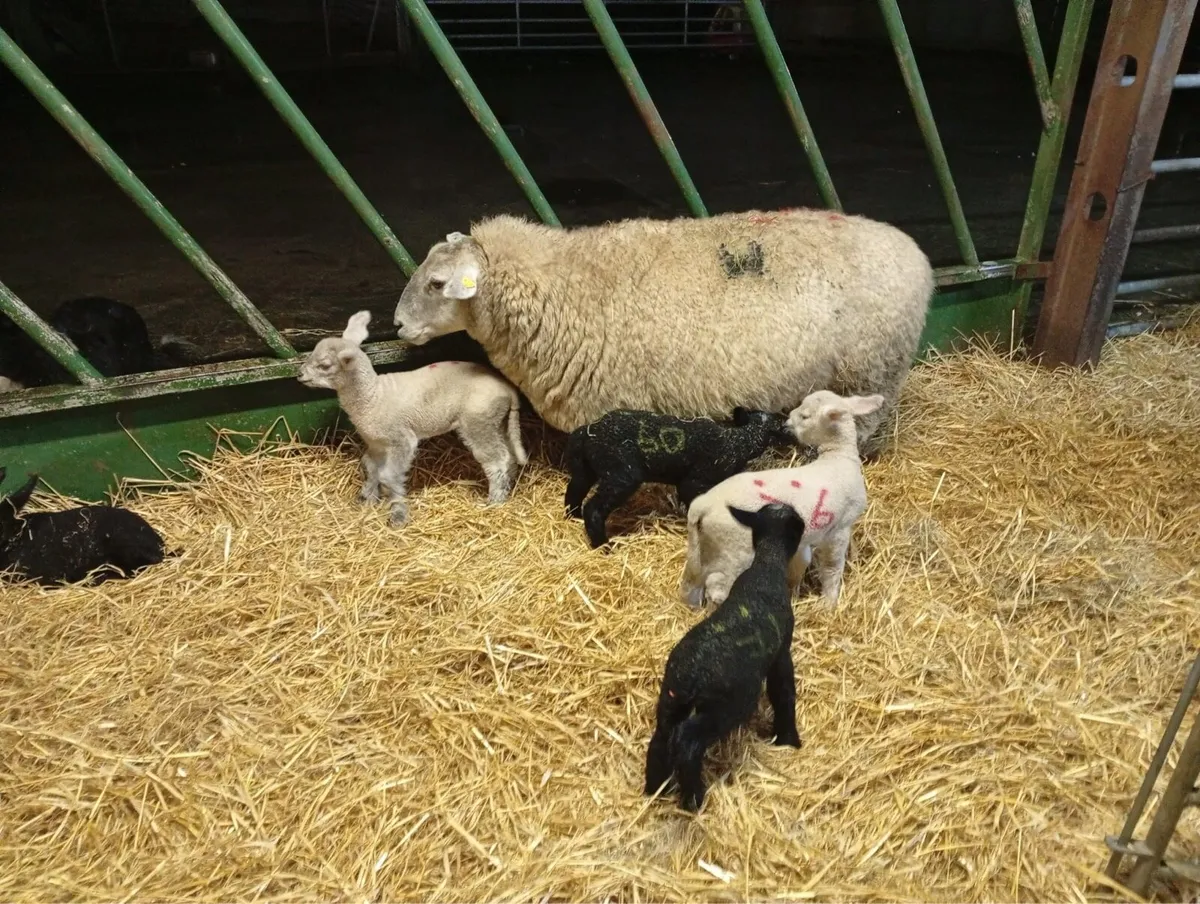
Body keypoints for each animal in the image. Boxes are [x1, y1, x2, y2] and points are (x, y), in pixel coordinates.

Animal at [297, 310, 528, 526]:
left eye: (325, 365)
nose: (299, 374)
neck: (373, 396)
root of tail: (507, 389)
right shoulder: (377, 444)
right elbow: (370, 466)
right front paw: (367, 498)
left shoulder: (401, 440)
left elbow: (389, 475)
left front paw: (397, 515)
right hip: (497, 420)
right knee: (508, 454)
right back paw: (508, 485)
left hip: (478, 421)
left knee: (496, 460)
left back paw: (495, 501)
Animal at [564, 406, 794, 548]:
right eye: (778, 426)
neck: (738, 442)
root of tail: (587, 433)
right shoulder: (695, 480)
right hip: (621, 474)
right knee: (593, 509)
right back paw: (604, 546)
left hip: (586, 468)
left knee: (574, 492)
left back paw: (572, 518)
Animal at [644, 502, 807, 813]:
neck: (766, 565)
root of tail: (690, 677)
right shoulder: (781, 652)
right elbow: (784, 693)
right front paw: (789, 740)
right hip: (724, 706)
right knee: (687, 742)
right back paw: (693, 799)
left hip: (670, 701)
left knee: (661, 738)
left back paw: (654, 789)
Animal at [679, 390, 883, 610]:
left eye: (805, 416)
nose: (787, 422)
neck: (839, 457)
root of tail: (703, 504)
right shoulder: (840, 529)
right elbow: (832, 568)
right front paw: (830, 602)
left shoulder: (808, 537)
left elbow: (801, 563)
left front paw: (794, 590)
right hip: (734, 549)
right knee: (716, 586)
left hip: (707, 544)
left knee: (694, 579)